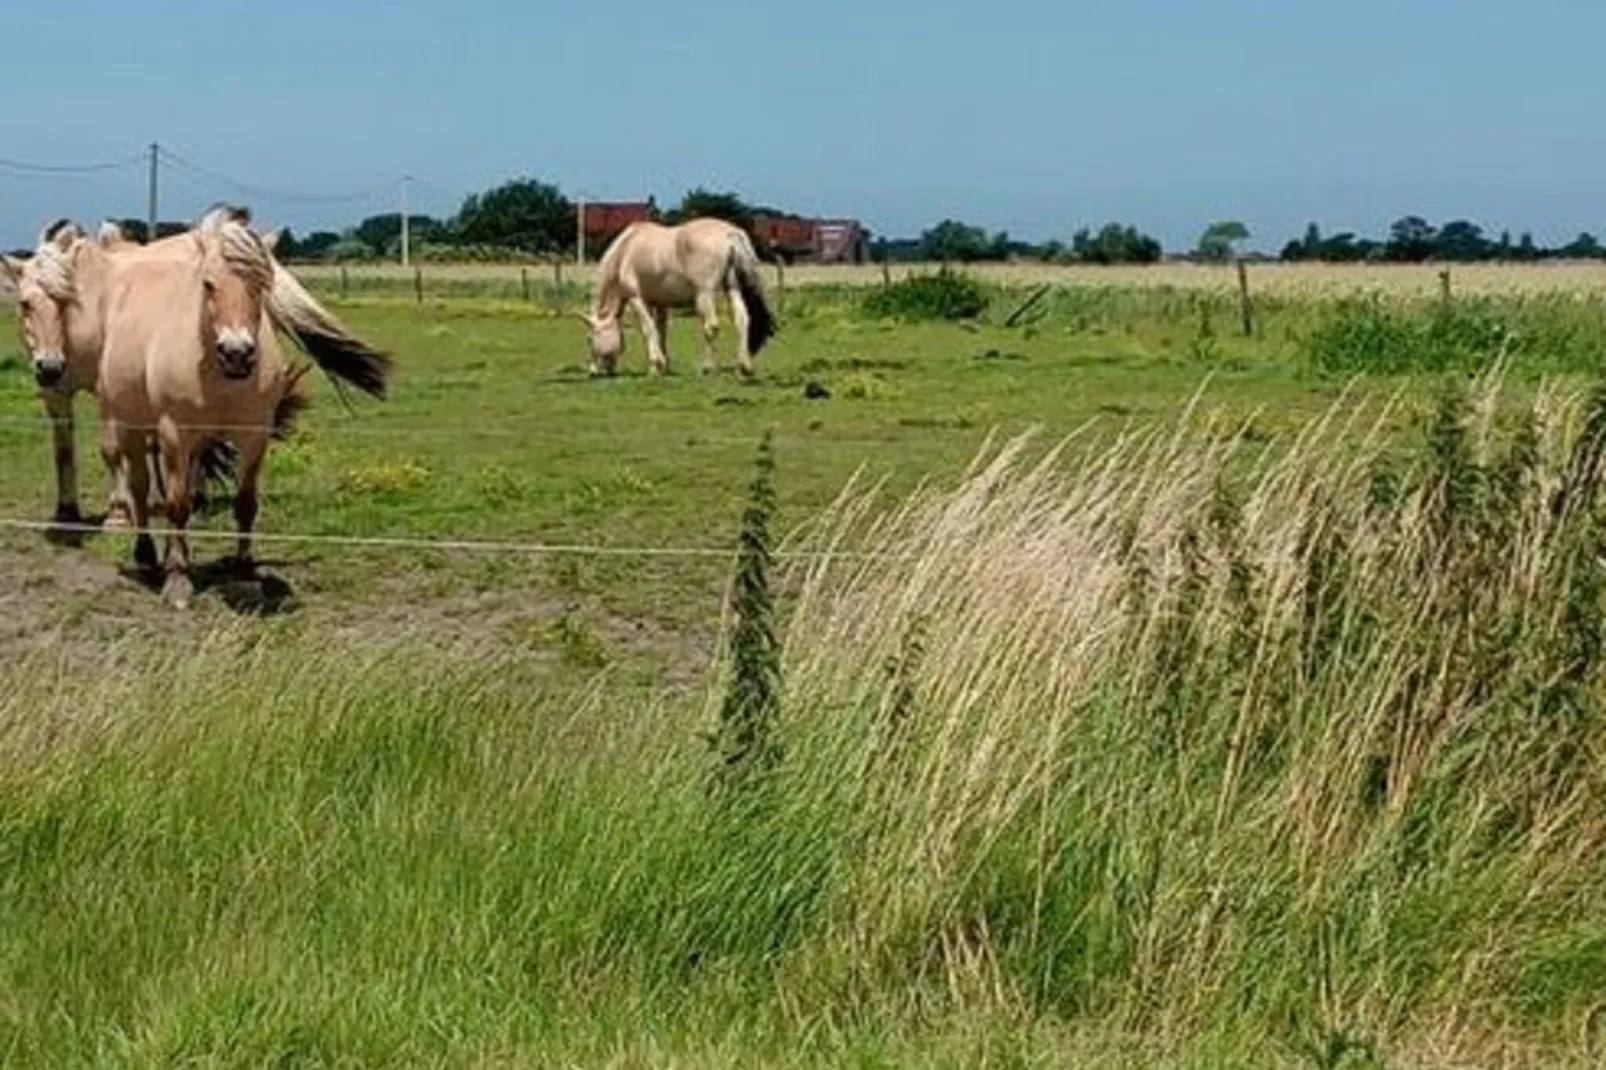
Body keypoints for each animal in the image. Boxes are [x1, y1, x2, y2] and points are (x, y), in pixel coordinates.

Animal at [581, 215, 774, 374]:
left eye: (590, 339)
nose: (593, 371)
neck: (625, 250)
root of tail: (729, 233)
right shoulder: (659, 303)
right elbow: (660, 330)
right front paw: (663, 365)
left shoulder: (636, 299)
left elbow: (648, 328)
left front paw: (656, 364)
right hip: (732, 287)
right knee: (742, 319)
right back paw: (744, 366)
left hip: (704, 294)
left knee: (711, 326)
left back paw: (707, 367)